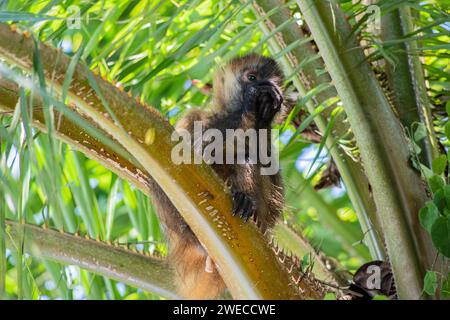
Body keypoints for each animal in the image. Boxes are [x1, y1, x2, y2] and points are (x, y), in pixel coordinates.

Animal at [149, 53, 286, 298]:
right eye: (252, 77)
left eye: (271, 81)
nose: (263, 88)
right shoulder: (194, 117)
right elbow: (190, 153)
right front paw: (250, 109)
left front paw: (263, 119)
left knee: (248, 159)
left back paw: (244, 200)